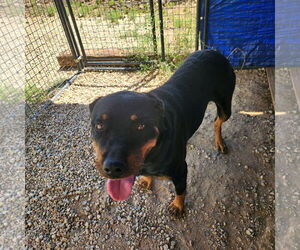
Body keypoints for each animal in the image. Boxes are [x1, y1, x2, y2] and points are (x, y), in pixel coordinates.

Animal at [89, 49, 237, 216]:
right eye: (99, 125)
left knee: (218, 121)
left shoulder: (181, 170)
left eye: (141, 126)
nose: (113, 168)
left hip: (226, 105)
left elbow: (181, 190)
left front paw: (178, 206)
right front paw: (147, 180)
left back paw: (220, 142)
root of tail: (213, 51)